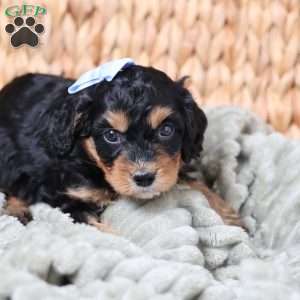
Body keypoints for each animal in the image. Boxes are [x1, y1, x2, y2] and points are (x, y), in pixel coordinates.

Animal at [0, 62, 241, 227]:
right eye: (111, 135)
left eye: (166, 130)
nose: (144, 178)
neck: (88, 158)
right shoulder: (65, 198)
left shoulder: (170, 167)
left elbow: (193, 182)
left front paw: (229, 216)